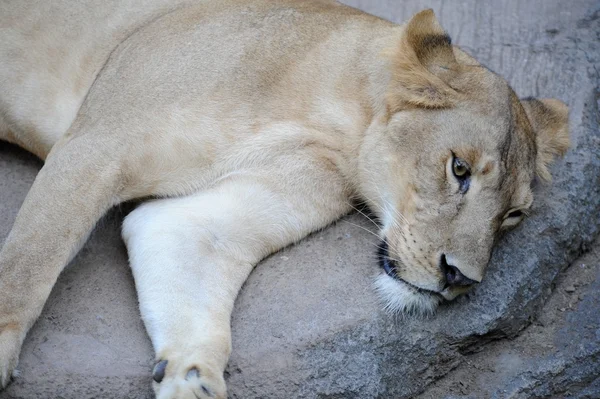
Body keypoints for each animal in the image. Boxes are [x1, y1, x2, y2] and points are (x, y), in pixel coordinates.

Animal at [0, 1, 568, 398]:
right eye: (459, 169)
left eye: (514, 214)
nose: (460, 279)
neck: (329, 115)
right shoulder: (96, 143)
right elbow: (28, 264)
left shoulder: (201, 215)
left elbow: (176, 240)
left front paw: (192, 378)